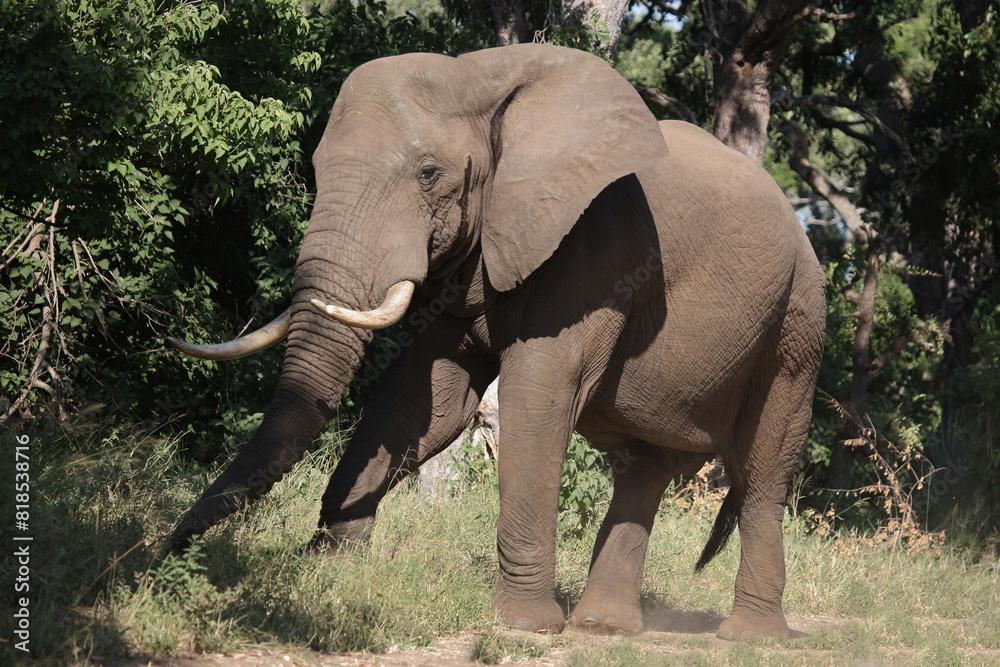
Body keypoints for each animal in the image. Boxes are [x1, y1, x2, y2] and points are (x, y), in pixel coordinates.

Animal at [167, 43, 826, 640]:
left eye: (429, 174)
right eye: (318, 165)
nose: (168, 552)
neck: (481, 77)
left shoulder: (594, 250)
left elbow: (539, 398)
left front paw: (524, 626)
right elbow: (424, 398)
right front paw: (330, 571)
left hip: (797, 329)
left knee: (762, 472)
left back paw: (750, 637)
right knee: (645, 467)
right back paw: (604, 628)